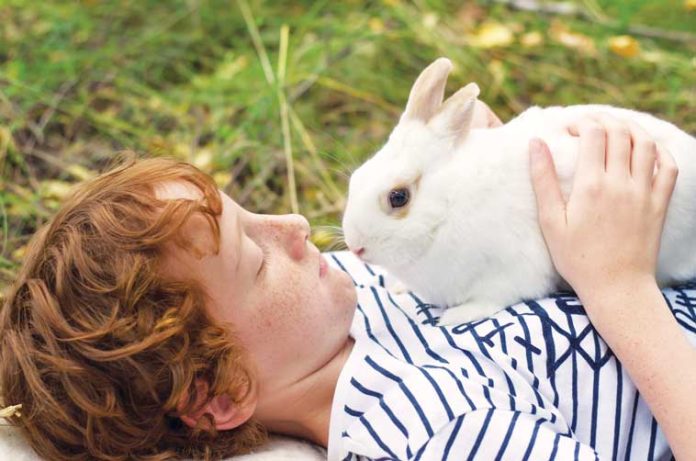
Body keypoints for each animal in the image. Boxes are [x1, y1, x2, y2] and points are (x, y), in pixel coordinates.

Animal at [342, 57, 696, 326]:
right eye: (355, 178)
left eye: (398, 197)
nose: (355, 247)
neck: (449, 202)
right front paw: (399, 288)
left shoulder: (512, 271)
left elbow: (493, 299)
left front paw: (454, 318)